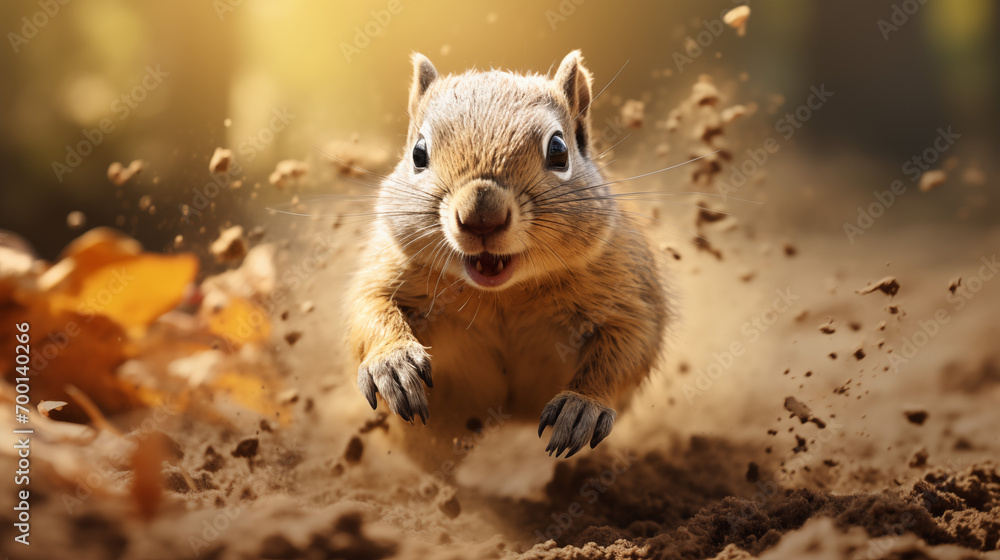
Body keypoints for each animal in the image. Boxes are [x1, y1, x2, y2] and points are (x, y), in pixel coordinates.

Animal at [347, 51, 668, 460]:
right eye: (418, 154)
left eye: (559, 150)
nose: (481, 215)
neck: (503, 294)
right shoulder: (388, 266)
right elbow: (368, 308)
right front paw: (392, 362)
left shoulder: (628, 283)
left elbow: (631, 343)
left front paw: (582, 405)